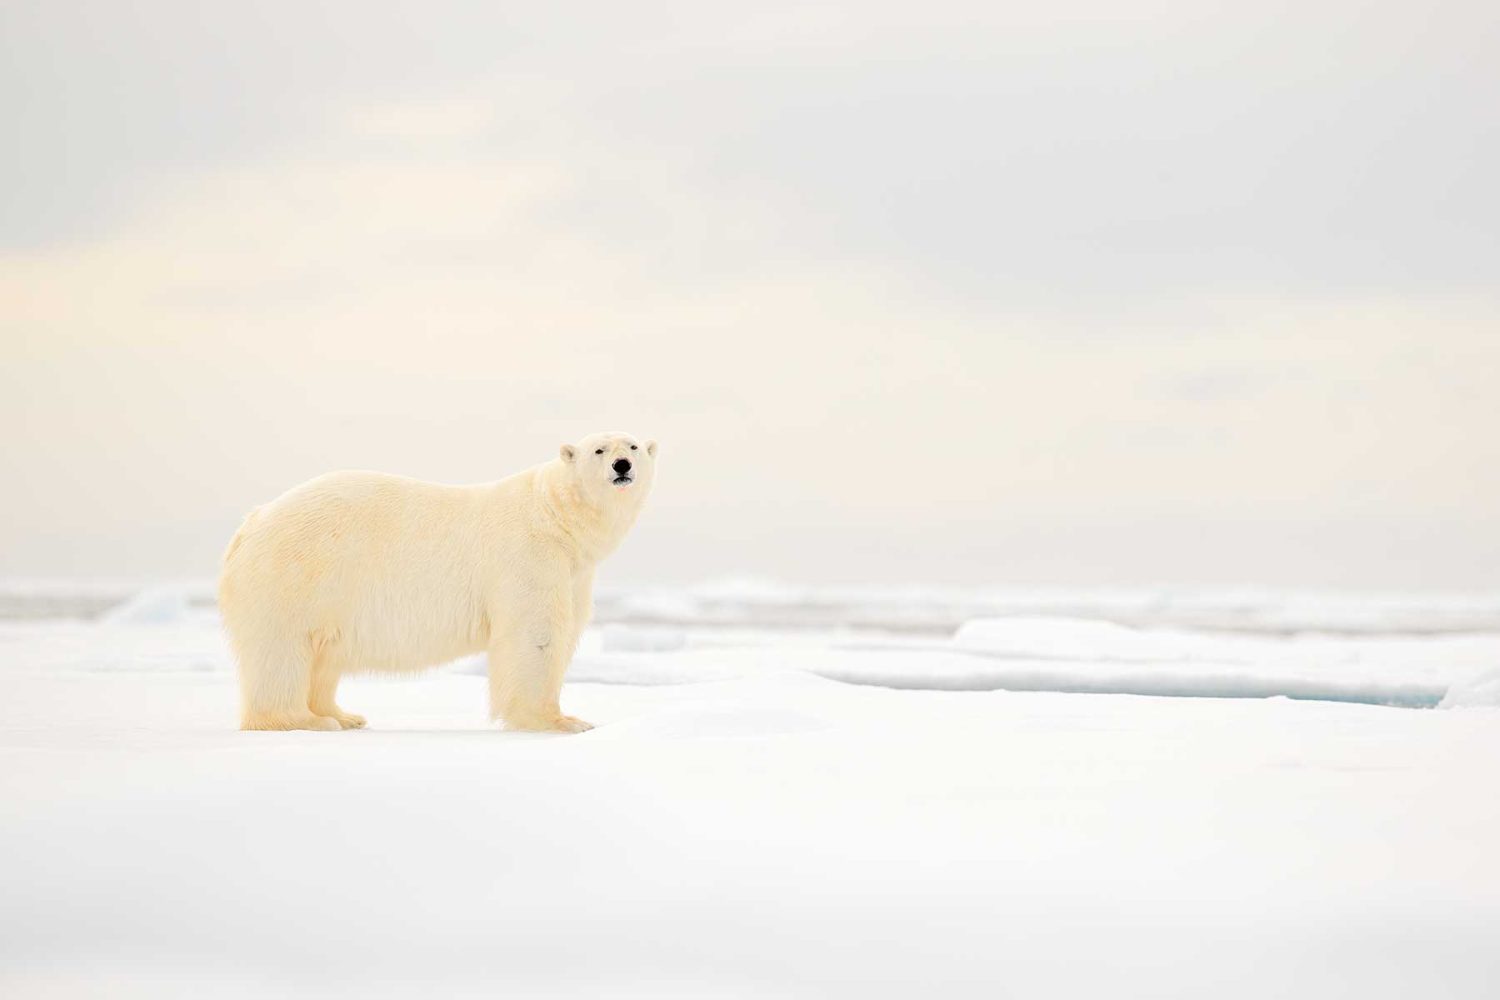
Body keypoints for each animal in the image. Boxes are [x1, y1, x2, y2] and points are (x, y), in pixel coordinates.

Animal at [219, 434, 657, 731]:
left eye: (633, 445)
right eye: (599, 450)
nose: (621, 465)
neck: (555, 515)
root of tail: (251, 523)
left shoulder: (573, 572)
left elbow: (566, 628)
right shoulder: (529, 555)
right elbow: (535, 634)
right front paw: (559, 721)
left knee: (323, 656)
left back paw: (343, 715)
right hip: (296, 573)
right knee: (284, 651)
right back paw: (303, 719)